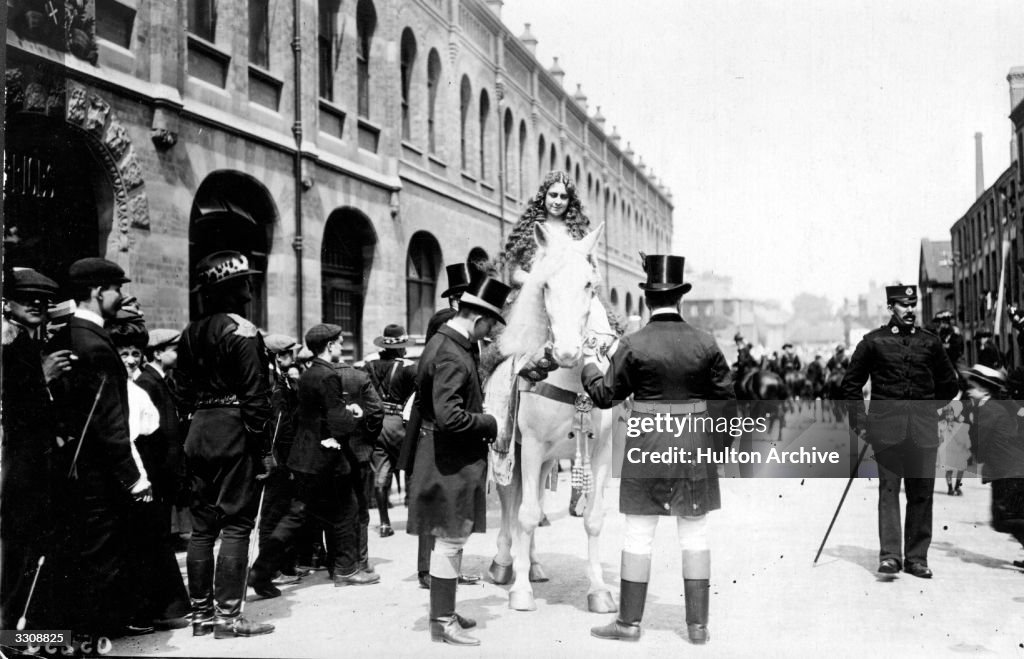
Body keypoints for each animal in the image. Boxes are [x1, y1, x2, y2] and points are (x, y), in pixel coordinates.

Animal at [485, 221, 618, 613]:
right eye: (545, 286)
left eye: (589, 285)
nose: (568, 352)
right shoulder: (529, 447)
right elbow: (525, 515)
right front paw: (520, 592)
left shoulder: (600, 453)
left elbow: (592, 519)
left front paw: (599, 591)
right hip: (509, 452)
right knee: (511, 503)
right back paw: (504, 564)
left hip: (545, 461)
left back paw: (533, 564)